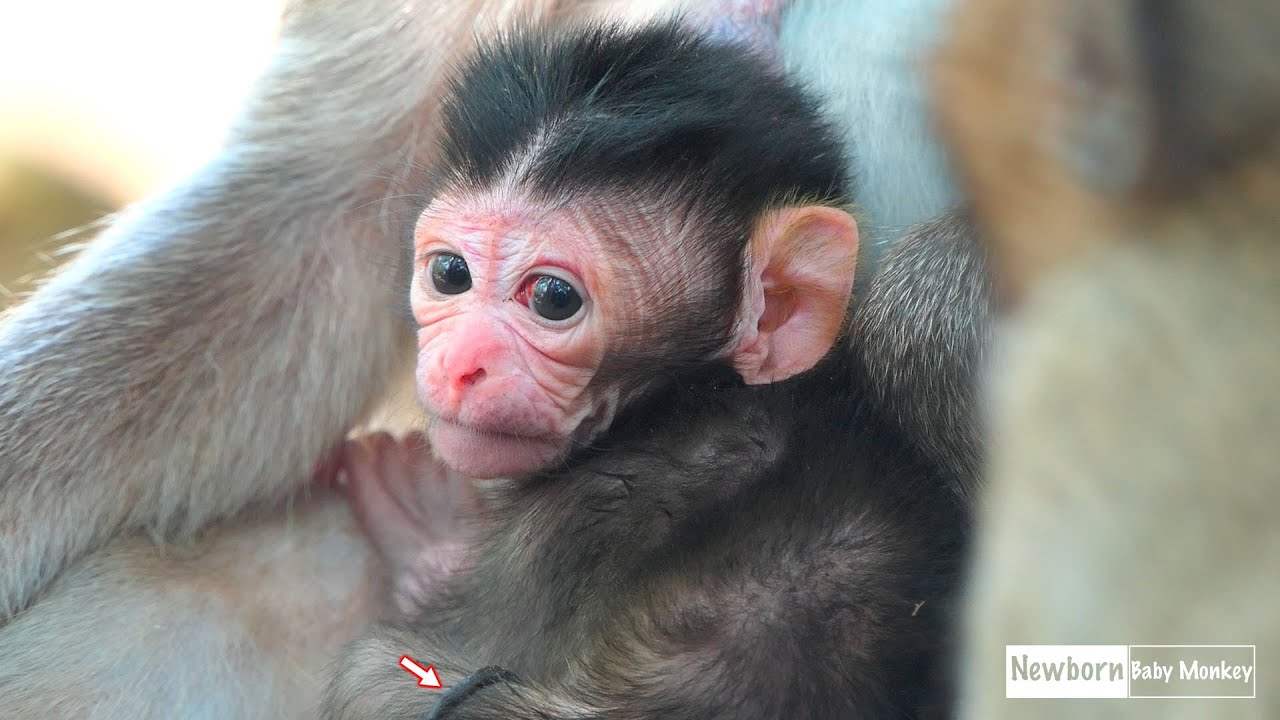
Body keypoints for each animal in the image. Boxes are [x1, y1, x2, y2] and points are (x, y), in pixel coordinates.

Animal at [318, 19, 974, 719]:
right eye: (449, 273)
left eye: (553, 297)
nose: (459, 364)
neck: (686, 398)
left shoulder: (565, 527)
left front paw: (423, 541)